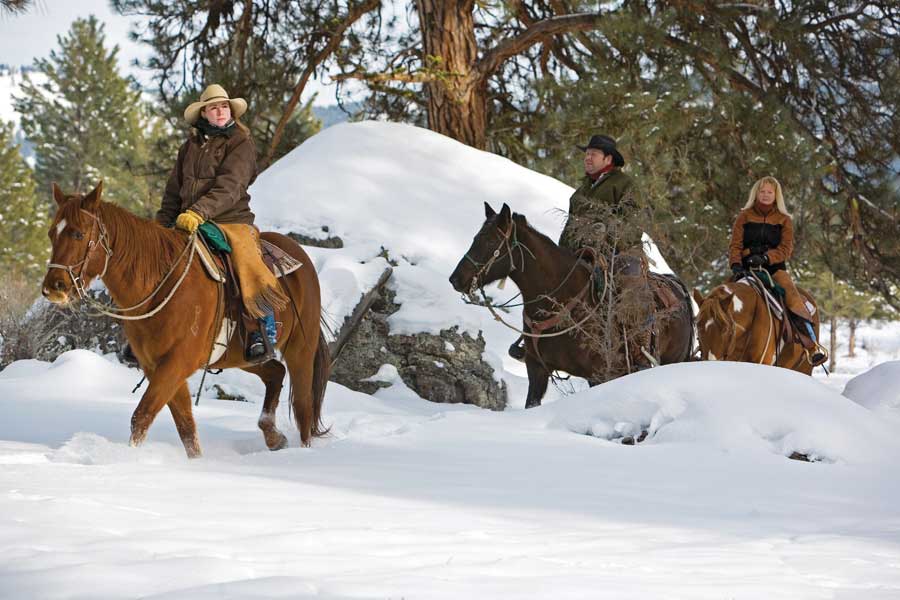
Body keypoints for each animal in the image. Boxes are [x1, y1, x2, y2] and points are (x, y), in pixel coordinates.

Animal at [41, 180, 330, 458]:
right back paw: (273, 437)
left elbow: (142, 415)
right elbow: (186, 427)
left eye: (78, 233)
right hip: (242, 356)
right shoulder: (157, 366)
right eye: (52, 234)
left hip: (300, 350)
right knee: (275, 372)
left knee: (303, 407)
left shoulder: (178, 362)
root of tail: (300, 255)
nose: (53, 287)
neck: (162, 284)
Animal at [450, 203, 696, 408]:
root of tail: (677, 287)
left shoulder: (598, 375)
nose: (456, 279)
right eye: (475, 238)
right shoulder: (537, 369)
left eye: (491, 241)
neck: (562, 299)